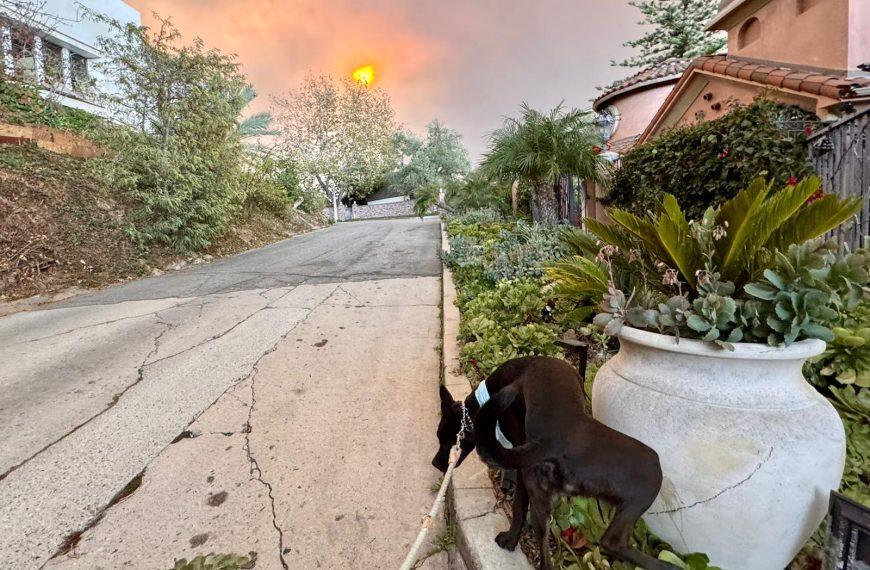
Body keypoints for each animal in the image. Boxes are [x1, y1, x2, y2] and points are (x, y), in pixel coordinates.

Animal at [440, 352, 676, 564]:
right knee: (612, 541)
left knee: (545, 554)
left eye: (443, 437)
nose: (436, 463)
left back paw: (510, 540)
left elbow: (517, 501)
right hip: (649, 476)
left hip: (540, 506)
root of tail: (548, 443)